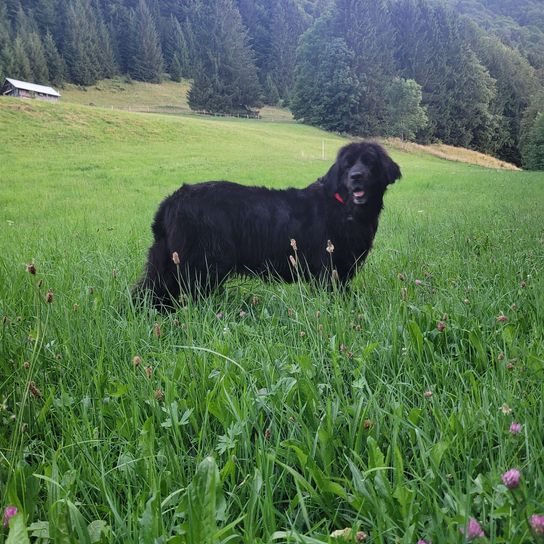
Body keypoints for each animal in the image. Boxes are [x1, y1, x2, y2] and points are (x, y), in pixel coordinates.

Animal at [136, 142, 400, 308]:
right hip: (199, 264)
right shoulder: (327, 268)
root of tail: (171, 201)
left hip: (167, 261)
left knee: (148, 290)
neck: (344, 207)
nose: (356, 176)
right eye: (347, 165)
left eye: (370, 162)